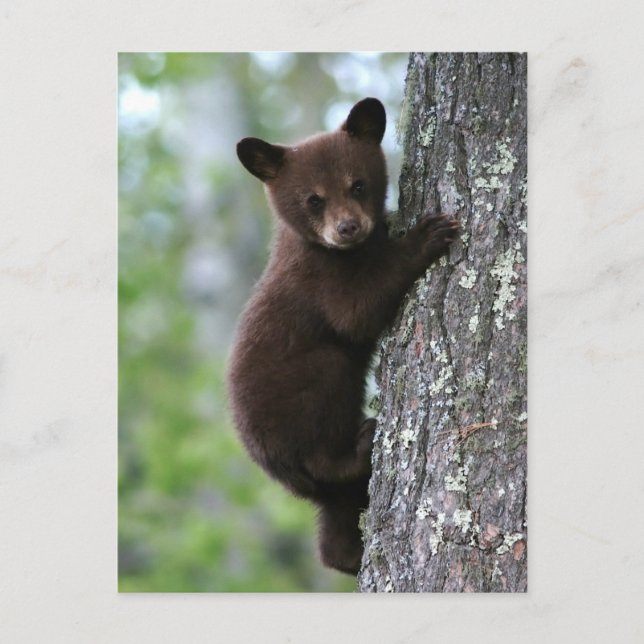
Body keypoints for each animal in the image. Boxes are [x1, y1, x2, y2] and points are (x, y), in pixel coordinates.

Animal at [227, 97, 459, 576]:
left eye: (358, 185)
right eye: (313, 199)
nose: (348, 227)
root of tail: (275, 467)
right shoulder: (320, 281)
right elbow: (357, 312)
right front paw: (426, 234)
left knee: (336, 519)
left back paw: (348, 555)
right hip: (304, 396)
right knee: (326, 432)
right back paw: (362, 442)